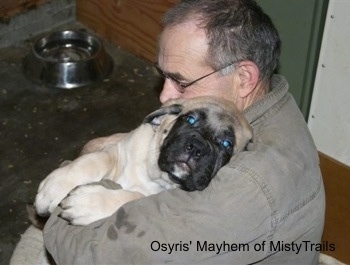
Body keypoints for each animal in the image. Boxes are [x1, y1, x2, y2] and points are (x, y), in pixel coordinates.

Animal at [34, 96, 252, 225]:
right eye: (190, 120)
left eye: (226, 144)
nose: (197, 148)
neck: (154, 175)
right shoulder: (118, 150)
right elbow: (95, 160)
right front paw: (55, 187)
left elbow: (131, 197)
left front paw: (88, 204)